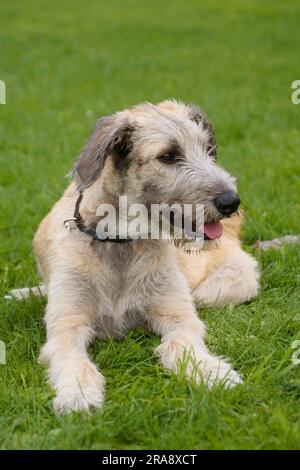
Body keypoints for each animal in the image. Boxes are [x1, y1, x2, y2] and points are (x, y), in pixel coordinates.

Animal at [31, 99, 260, 412]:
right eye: (168, 156)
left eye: (207, 149)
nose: (231, 201)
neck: (120, 241)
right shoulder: (66, 323)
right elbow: (72, 359)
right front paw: (77, 393)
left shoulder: (178, 315)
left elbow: (181, 342)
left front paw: (210, 371)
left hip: (222, 287)